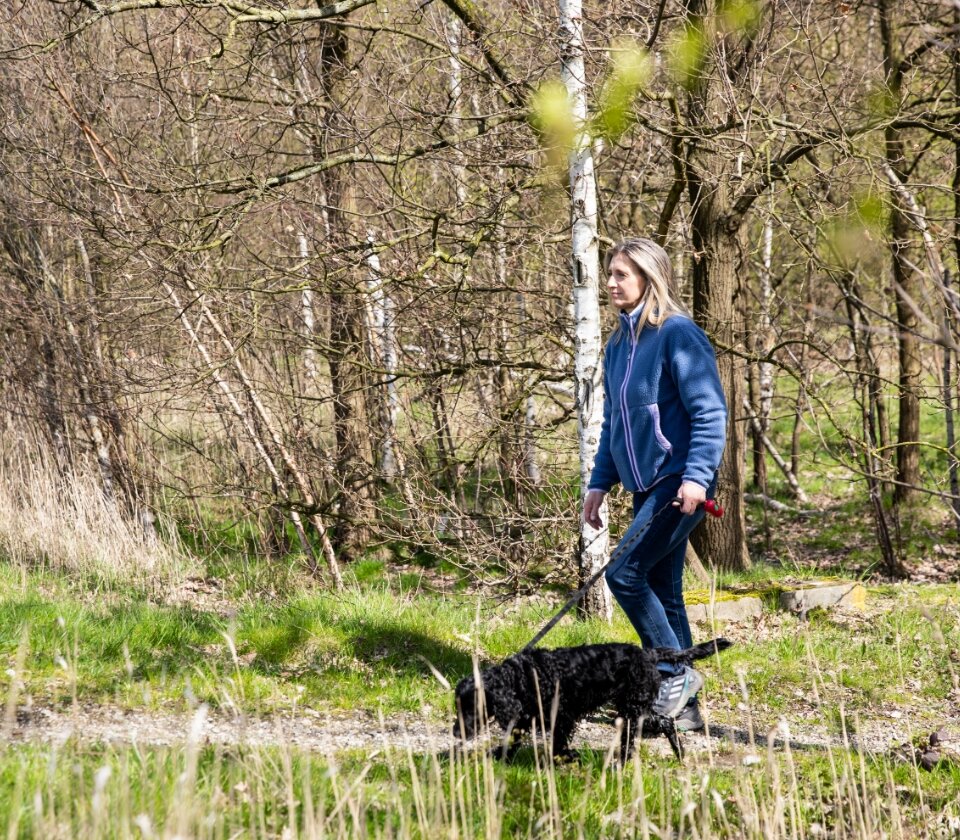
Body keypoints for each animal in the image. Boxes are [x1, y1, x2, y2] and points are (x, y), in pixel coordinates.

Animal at [453, 638, 731, 762]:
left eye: (470, 706)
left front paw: (567, 758)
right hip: (634, 706)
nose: (456, 733)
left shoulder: (562, 716)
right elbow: (512, 740)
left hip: (632, 708)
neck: (521, 678)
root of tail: (649, 654)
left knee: (639, 735)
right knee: (665, 722)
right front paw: (499, 758)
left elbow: (558, 744)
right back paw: (679, 754)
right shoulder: (525, 718)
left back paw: (622, 762)